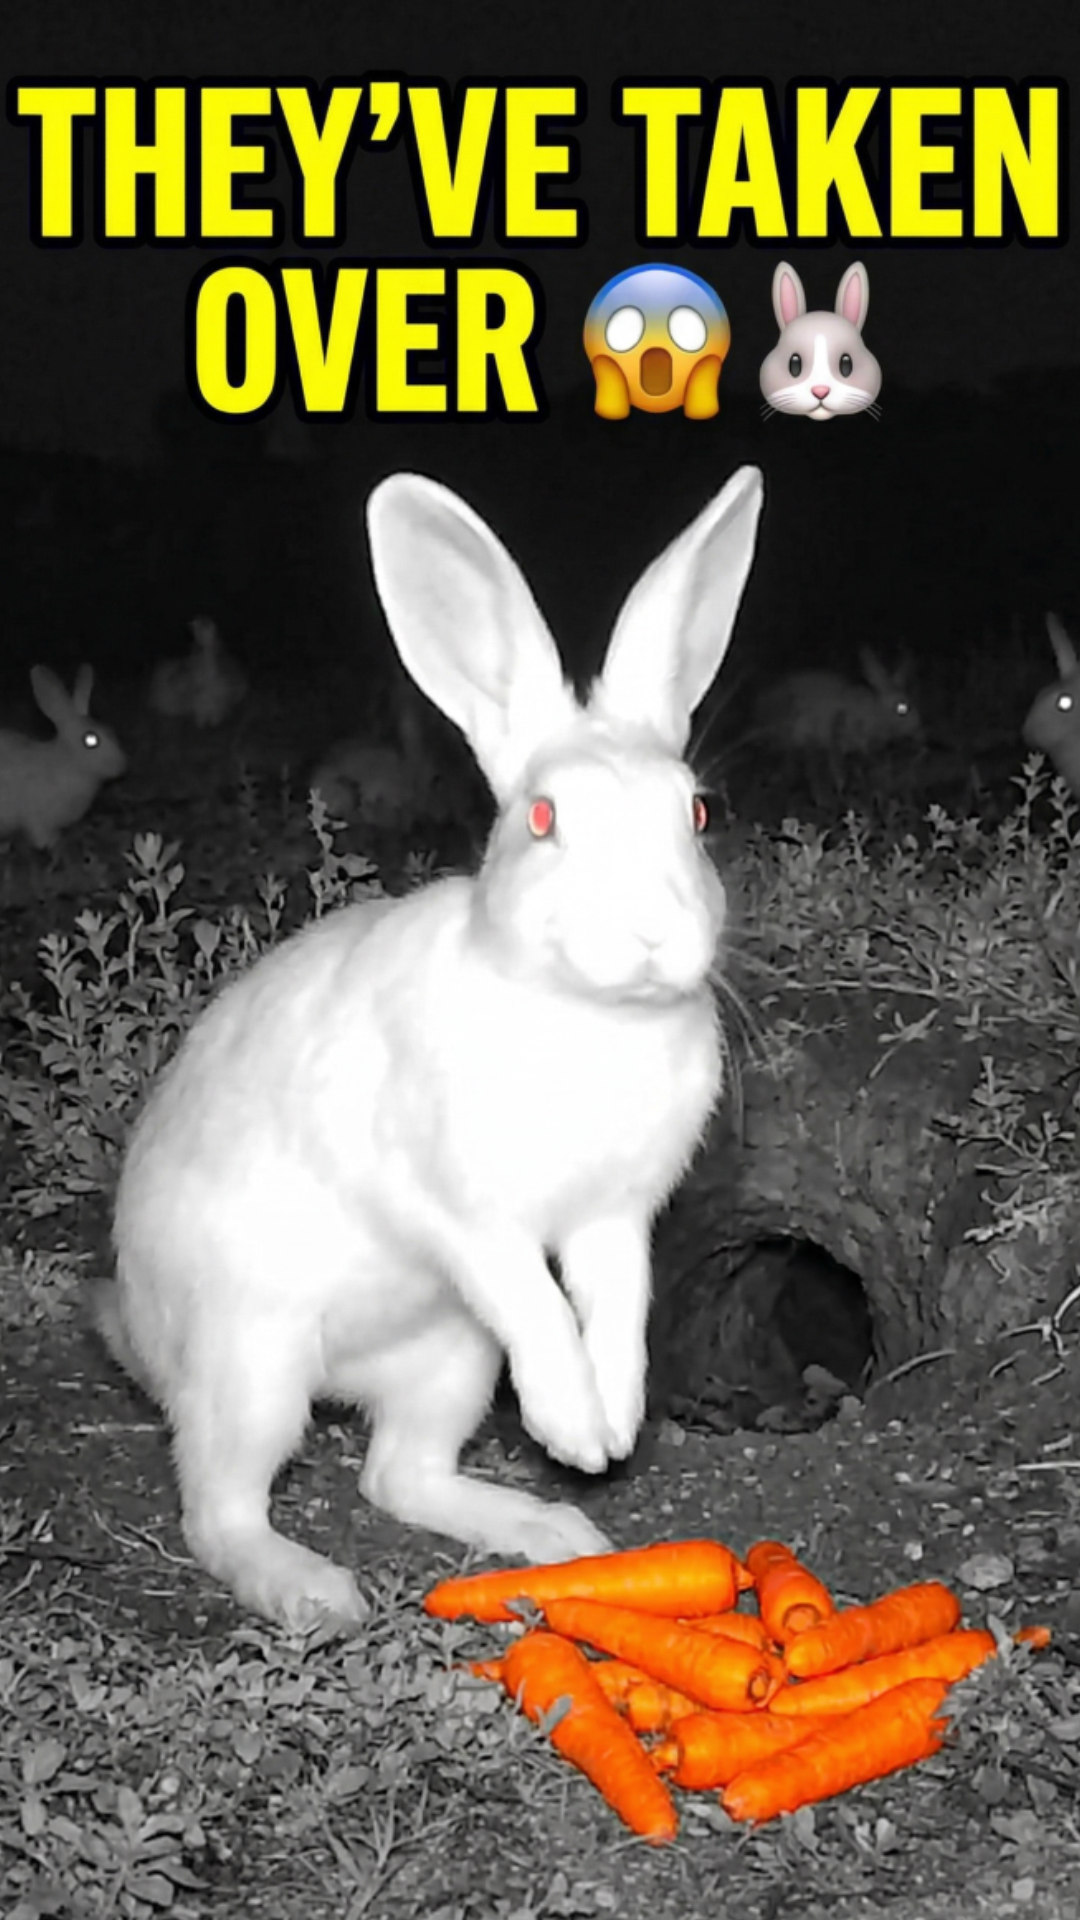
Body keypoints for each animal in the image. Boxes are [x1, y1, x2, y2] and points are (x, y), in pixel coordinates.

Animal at [0, 664, 127, 849]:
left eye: (110, 730)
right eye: (90, 740)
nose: (122, 765)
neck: (67, 761)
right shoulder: (36, 817)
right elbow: (40, 836)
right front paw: (50, 842)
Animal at [94, 463, 765, 1632]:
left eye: (696, 812)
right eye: (543, 819)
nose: (650, 933)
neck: (588, 1015)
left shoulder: (613, 1222)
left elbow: (617, 1308)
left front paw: (612, 1425)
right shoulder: (467, 1214)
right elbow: (537, 1301)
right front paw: (574, 1427)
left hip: (450, 1358)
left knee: (396, 1473)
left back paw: (551, 1532)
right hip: (254, 1360)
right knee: (220, 1509)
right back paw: (313, 1590)